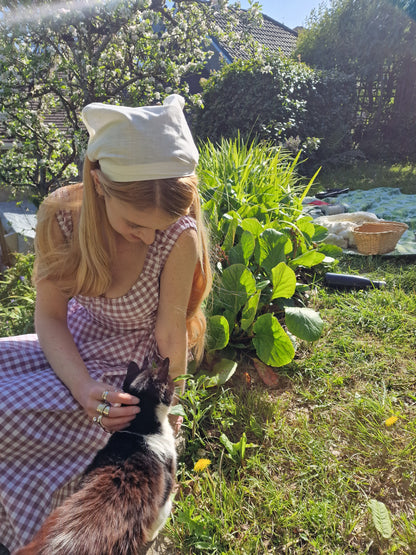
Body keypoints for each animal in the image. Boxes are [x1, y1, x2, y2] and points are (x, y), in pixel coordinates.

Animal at [15, 358, 176, 552]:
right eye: (171, 382)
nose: (177, 384)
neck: (140, 429)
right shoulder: (164, 495)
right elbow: (159, 519)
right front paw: (152, 535)